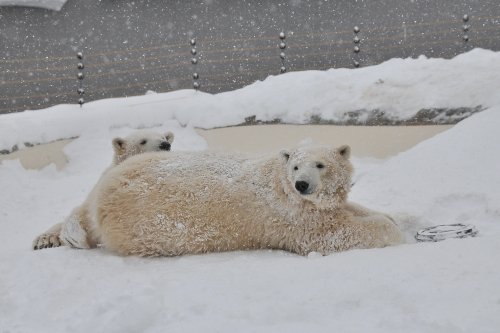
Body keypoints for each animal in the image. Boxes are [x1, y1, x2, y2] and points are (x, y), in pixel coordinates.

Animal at [85, 144, 402, 255]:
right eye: (296, 166)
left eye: (320, 164)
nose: (302, 184)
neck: (280, 183)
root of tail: (104, 189)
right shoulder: (289, 216)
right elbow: (332, 234)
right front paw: (395, 232)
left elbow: (344, 210)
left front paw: (398, 218)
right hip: (145, 222)